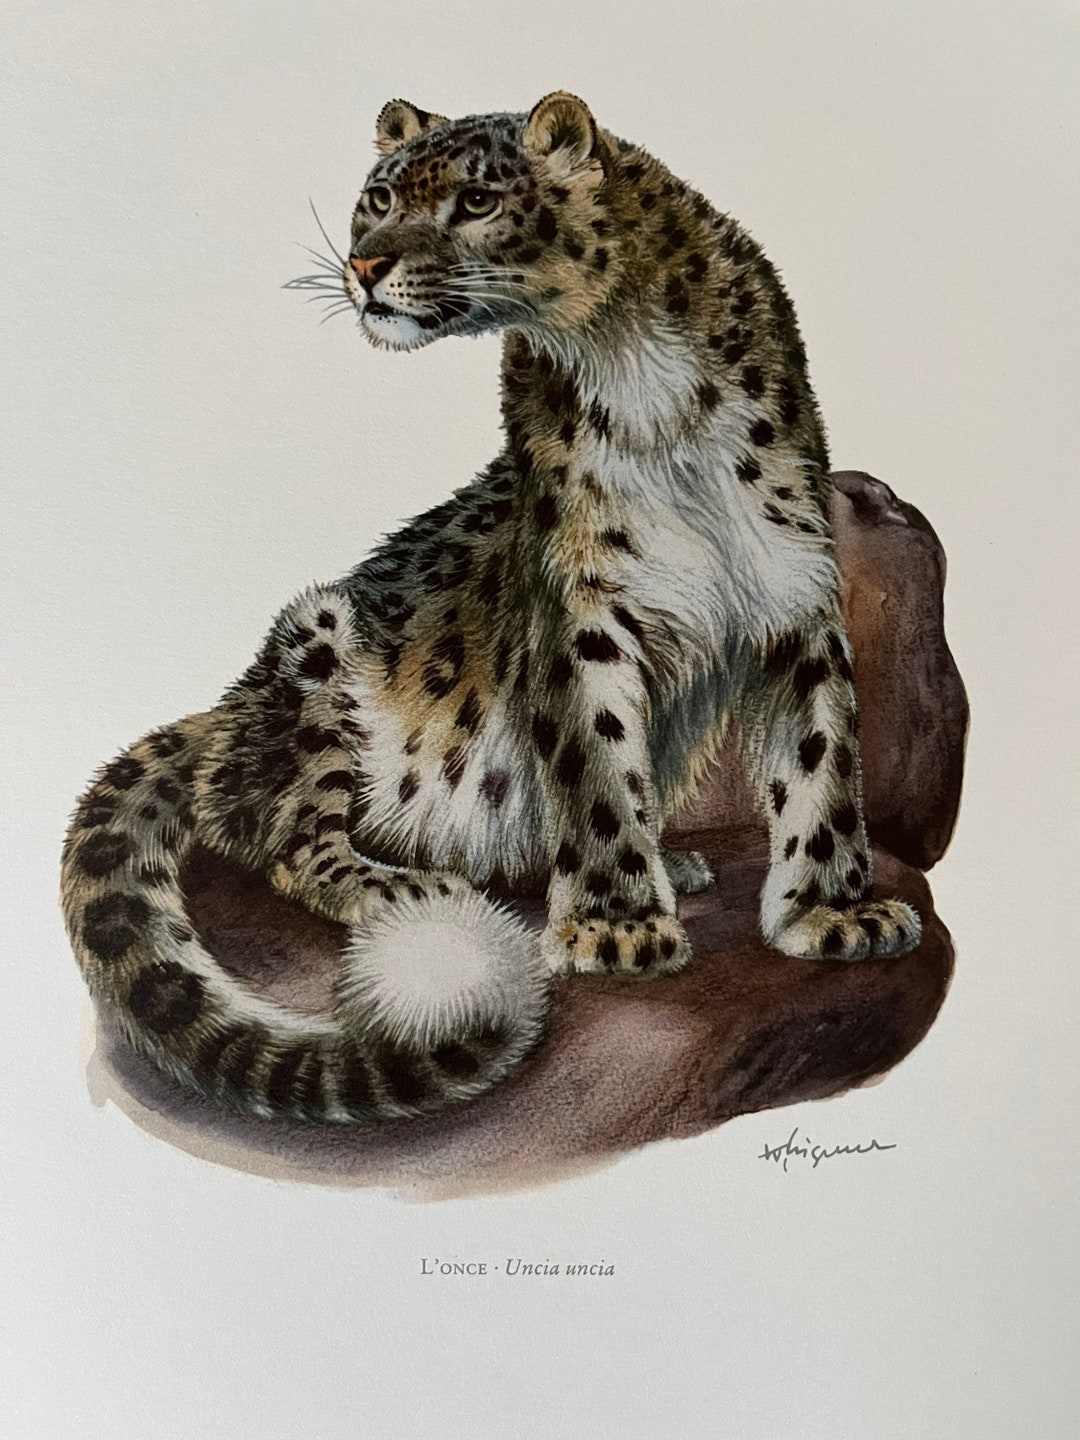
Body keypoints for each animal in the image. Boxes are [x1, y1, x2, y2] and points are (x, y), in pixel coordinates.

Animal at [60, 92, 921, 1124]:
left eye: (474, 200)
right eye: (379, 198)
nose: (365, 264)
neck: (642, 377)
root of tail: (224, 714)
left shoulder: (795, 588)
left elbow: (820, 760)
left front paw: (832, 912)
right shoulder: (578, 607)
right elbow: (596, 762)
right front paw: (617, 927)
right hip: (317, 646)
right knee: (292, 842)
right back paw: (403, 883)